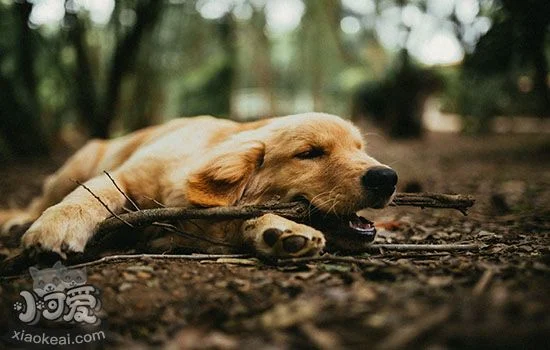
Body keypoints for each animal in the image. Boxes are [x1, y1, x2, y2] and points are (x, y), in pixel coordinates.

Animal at [0, 113, 396, 258]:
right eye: (310, 153)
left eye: (360, 149)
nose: (387, 178)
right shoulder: (125, 175)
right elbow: (91, 196)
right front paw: (59, 224)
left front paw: (278, 229)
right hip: (78, 162)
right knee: (40, 199)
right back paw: (19, 220)